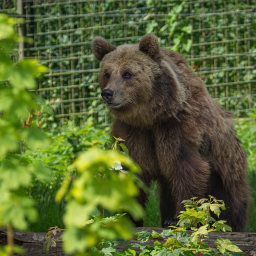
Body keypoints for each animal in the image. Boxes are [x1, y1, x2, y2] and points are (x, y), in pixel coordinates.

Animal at [92, 33, 250, 231]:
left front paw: (178, 219)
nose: (108, 93)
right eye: (107, 73)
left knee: (227, 204)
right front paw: (128, 218)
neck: (150, 116)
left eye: (127, 73)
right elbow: (133, 172)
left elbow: (186, 168)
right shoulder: (133, 132)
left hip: (226, 172)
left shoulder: (178, 128)